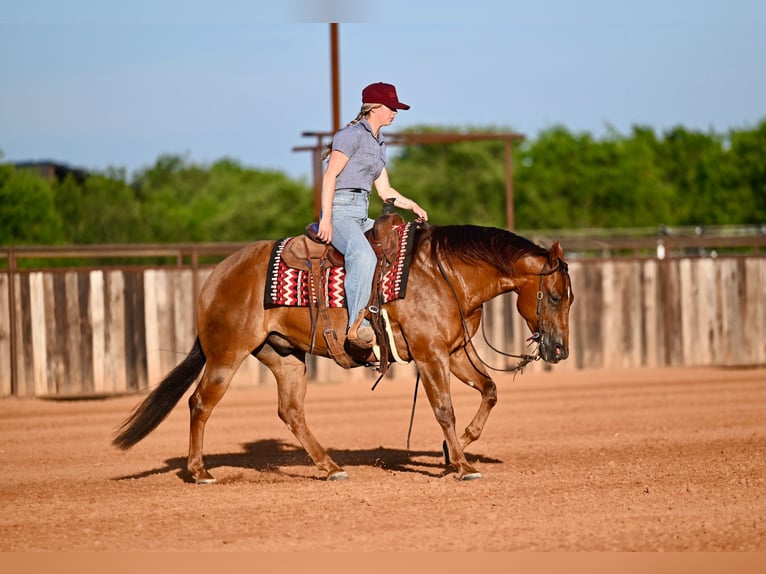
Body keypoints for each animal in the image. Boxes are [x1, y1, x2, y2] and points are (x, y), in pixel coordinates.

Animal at [113, 223, 574, 482]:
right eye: (553, 296)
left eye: (570, 298)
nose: (559, 350)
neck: (444, 274)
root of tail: (217, 276)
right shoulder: (431, 355)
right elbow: (445, 409)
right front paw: (462, 466)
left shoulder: (457, 351)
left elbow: (490, 390)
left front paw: (453, 451)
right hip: (227, 355)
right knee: (199, 403)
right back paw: (199, 471)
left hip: (284, 357)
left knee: (291, 412)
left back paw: (330, 467)